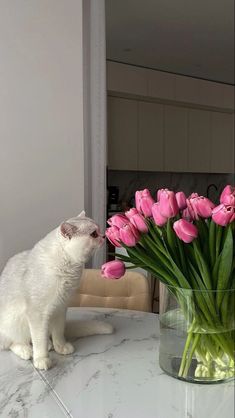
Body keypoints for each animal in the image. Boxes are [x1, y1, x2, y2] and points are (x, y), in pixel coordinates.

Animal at [0, 212, 113, 370]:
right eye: (94, 234)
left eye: (99, 231)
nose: (103, 236)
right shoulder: (38, 314)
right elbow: (39, 340)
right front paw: (42, 359)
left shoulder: (60, 308)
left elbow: (58, 333)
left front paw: (61, 347)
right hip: (14, 325)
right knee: (13, 343)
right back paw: (27, 350)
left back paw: (48, 344)